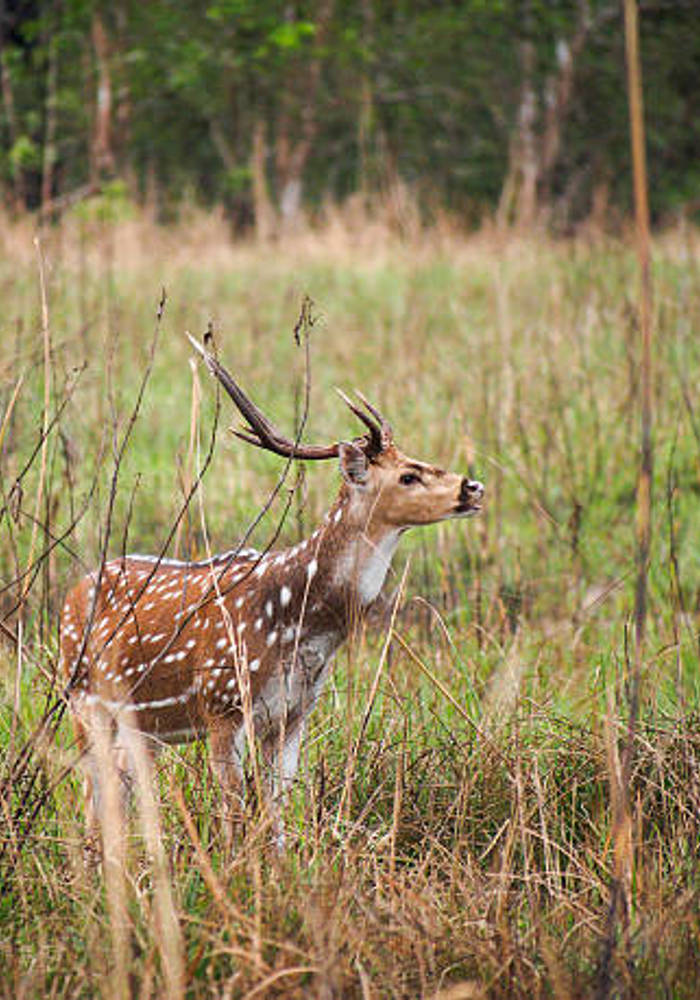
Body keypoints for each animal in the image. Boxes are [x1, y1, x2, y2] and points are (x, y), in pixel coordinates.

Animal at [61, 336, 482, 844]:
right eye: (407, 476)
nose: (473, 486)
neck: (302, 625)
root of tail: (72, 593)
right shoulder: (221, 704)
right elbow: (233, 815)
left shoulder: (294, 714)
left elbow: (277, 814)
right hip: (85, 704)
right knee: (91, 802)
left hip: (142, 726)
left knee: (118, 800)